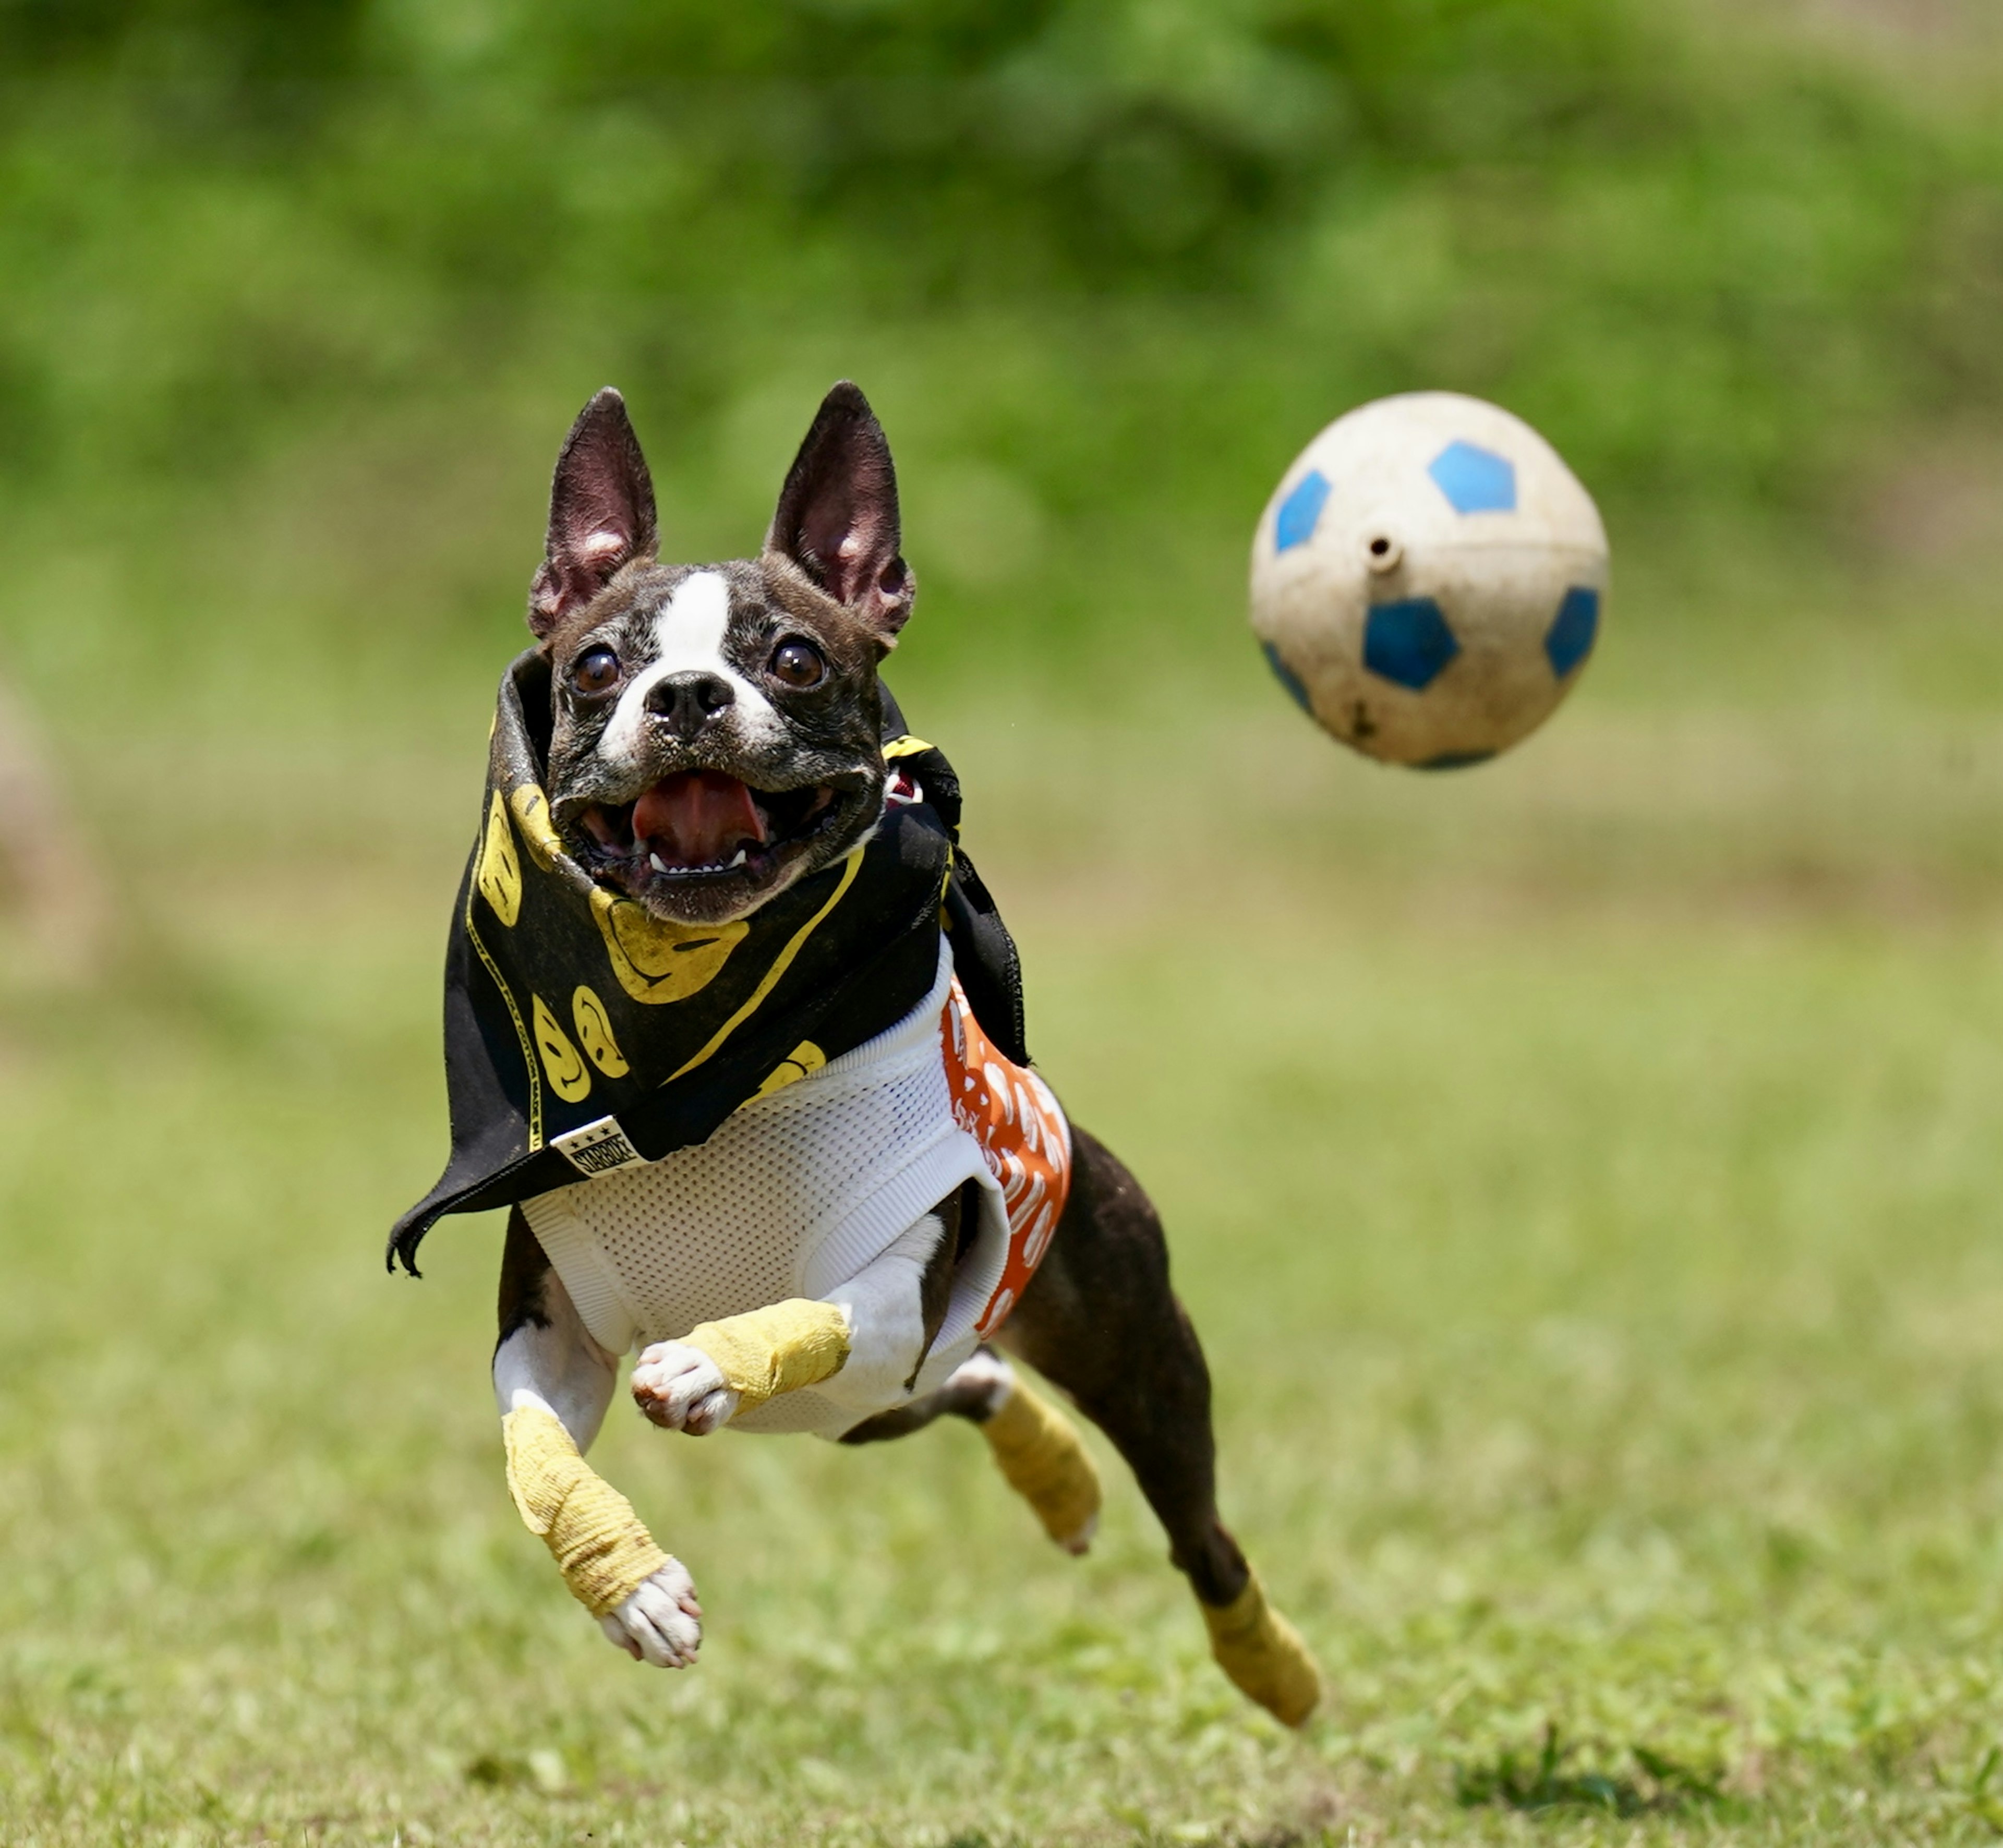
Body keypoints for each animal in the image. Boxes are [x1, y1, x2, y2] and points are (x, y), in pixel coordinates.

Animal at [399, 382, 1322, 1730]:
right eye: (599, 666)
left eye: (795, 659)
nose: (685, 695)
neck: (709, 1068)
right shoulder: (550, 1328)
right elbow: (535, 1453)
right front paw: (633, 1587)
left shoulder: (895, 1296)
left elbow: (812, 1310)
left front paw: (706, 1357)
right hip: (866, 1420)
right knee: (977, 1383)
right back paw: (1055, 1476)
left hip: (1139, 1360)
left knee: (1199, 1533)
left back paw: (1273, 1664)